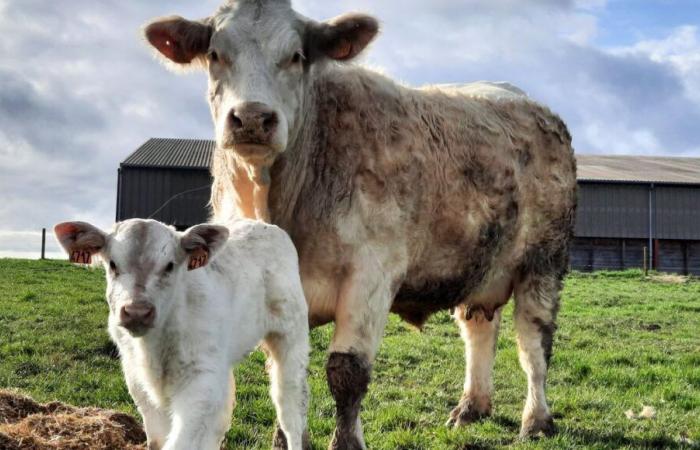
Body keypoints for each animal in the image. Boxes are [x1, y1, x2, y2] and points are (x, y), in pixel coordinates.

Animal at [52, 219, 308, 450]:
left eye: (169, 266)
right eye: (113, 264)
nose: (137, 312)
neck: (154, 347)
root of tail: (264, 225)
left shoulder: (200, 378)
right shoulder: (136, 377)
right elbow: (158, 439)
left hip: (291, 338)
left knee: (290, 410)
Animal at [145, 1, 576, 448]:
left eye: (297, 56)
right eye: (215, 54)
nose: (251, 117)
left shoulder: (372, 276)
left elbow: (346, 373)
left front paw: (346, 441)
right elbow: (285, 374)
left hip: (543, 262)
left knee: (534, 342)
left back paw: (537, 419)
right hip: (480, 264)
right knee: (479, 331)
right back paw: (472, 407)